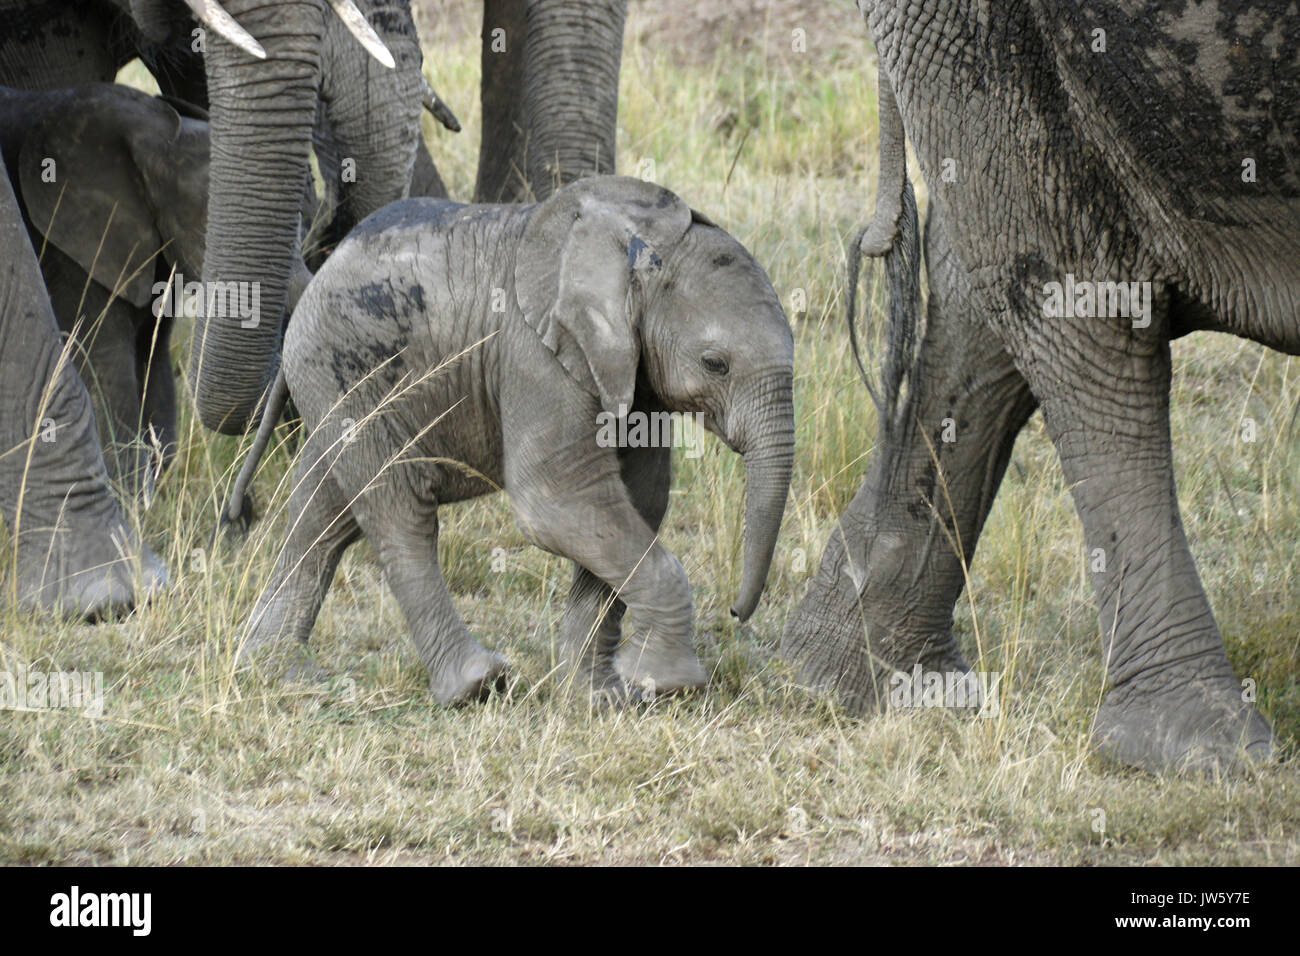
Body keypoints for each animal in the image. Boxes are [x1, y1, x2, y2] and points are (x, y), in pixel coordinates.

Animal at [225, 176, 796, 705]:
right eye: (715, 364)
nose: (736, 611)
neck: (636, 240)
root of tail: (316, 278)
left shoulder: (632, 370)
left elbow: (637, 501)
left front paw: (599, 697)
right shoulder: (533, 352)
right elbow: (557, 500)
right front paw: (666, 682)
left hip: (336, 380)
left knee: (325, 513)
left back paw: (274, 669)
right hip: (346, 369)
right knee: (399, 507)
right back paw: (476, 685)